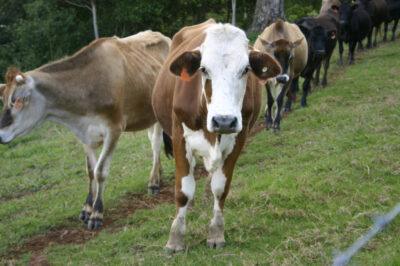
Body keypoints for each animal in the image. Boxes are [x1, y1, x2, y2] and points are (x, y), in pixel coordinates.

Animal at [0, 30, 170, 231]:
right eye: (4, 100)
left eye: (18, 100)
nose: (1, 134)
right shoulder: (83, 134)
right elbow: (90, 171)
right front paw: (87, 207)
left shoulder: (114, 129)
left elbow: (100, 171)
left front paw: (97, 213)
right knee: (153, 141)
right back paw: (158, 175)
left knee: (156, 144)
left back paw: (153, 182)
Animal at [151, 19, 282, 252]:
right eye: (203, 69)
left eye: (246, 69)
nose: (223, 120)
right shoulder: (179, 136)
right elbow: (183, 190)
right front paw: (175, 238)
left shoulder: (239, 138)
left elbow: (220, 188)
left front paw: (216, 233)